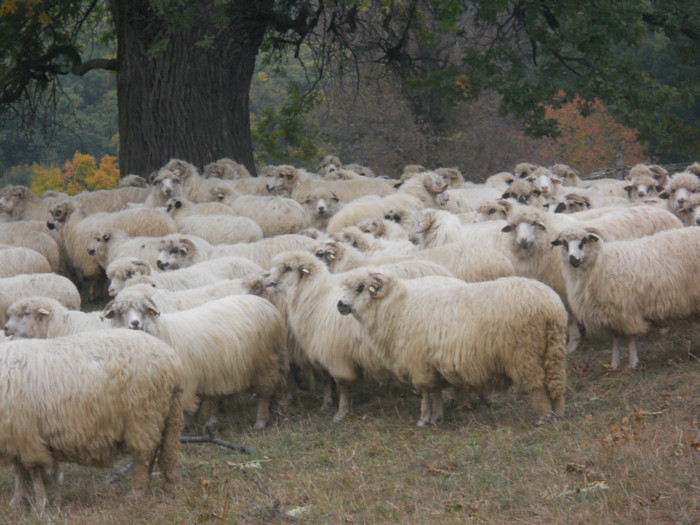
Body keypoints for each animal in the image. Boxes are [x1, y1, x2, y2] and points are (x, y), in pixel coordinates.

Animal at [0, 328, 183, 512]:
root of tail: (172, 359)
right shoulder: (13, 436)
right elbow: (18, 470)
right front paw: (17, 501)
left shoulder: (26, 435)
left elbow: (33, 471)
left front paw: (40, 504)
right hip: (166, 416)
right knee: (156, 454)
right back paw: (150, 488)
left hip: (144, 416)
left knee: (143, 457)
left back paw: (135, 494)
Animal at [102, 288, 288, 428]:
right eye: (120, 312)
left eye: (143, 310)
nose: (135, 323)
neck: (162, 331)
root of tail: (267, 304)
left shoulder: (185, 381)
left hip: (265, 363)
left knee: (265, 394)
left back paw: (260, 421)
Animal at [334, 270, 568, 426]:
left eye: (360, 288)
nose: (339, 305)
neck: (397, 309)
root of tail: (551, 306)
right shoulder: (430, 362)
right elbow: (436, 389)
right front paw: (437, 416)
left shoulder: (418, 362)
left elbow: (425, 391)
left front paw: (424, 418)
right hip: (553, 349)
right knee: (555, 382)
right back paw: (558, 412)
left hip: (524, 352)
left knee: (538, 385)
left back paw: (544, 416)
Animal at [552, 225, 700, 368]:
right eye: (564, 243)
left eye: (583, 240)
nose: (572, 259)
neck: (601, 262)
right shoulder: (612, 314)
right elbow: (616, 338)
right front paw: (614, 363)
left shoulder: (626, 311)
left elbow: (630, 337)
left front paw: (633, 362)